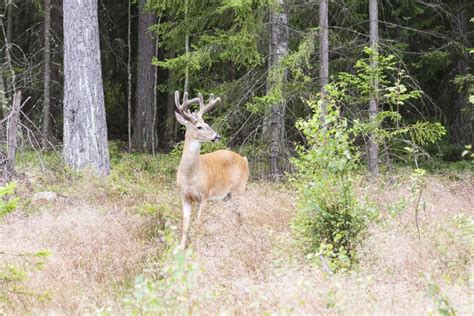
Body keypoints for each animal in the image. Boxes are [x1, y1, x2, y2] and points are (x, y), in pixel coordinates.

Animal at [173, 90, 248, 248]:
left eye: (207, 123)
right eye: (199, 127)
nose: (217, 136)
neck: (190, 176)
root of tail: (244, 160)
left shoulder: (205, 195)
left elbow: (199, 225)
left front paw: (197, 249)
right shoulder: (184, 196)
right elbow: (185, 225)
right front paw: (181, 248)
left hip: (239, 188)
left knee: (243, 215)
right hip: (229, 196)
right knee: (236, 216)